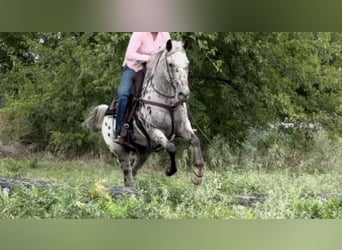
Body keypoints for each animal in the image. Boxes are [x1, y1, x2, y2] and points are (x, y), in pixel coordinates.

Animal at [83, 39, 204, 188]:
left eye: (187, 63)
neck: (167, 101)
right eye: (170, 64)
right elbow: (171, 147)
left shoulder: (183, 127)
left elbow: (196, 141)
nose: (183, 94)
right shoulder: (154, 130)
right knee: (128, 174)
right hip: (120, 151)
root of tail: (106, 113)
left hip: (143, 152)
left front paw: (198, 175)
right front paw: (170, 170)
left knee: (134, 171)